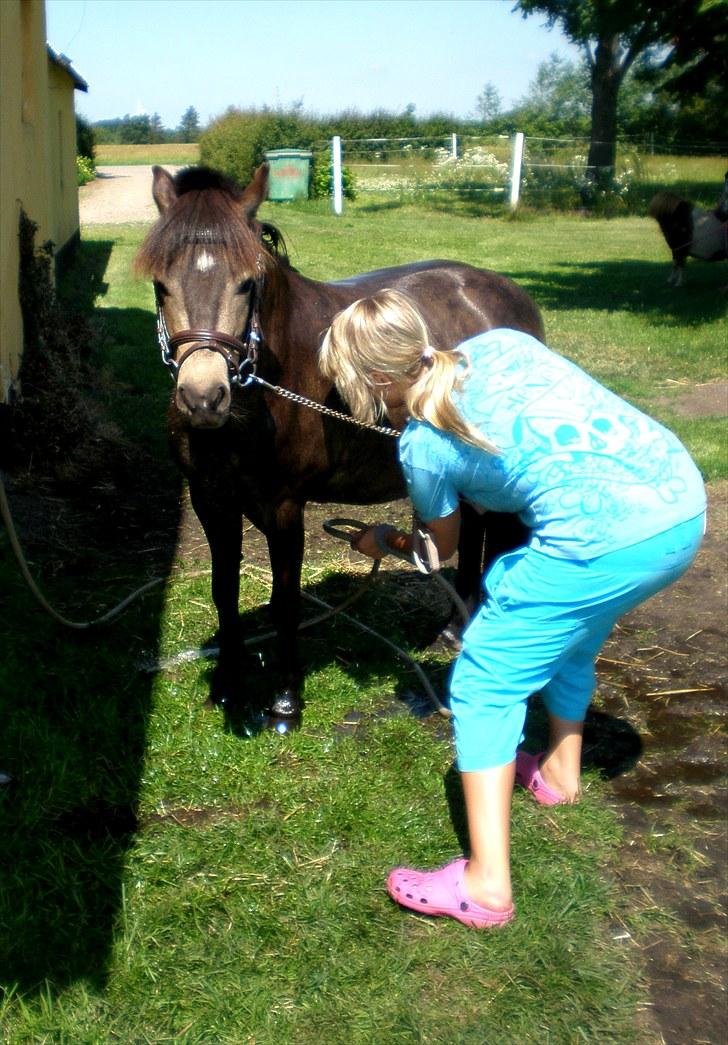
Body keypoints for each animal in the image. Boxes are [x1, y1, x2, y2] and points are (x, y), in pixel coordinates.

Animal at [135, 164, 543, 730]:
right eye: (161, 285)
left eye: (248, 283)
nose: (203, 398)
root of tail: (509, 296)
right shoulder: (210, 500)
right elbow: (224, 590)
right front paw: (228, 686)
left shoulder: (285, 506)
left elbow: (285, 599)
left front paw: (285, 699)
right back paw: (452, 628)